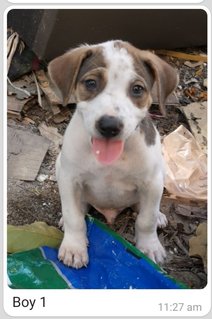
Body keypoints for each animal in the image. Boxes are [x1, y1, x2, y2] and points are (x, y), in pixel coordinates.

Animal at [47, 40, 177, 270]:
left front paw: (150, 246)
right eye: (91, 83)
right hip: (59, 166)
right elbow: (74, 218)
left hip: (161, 174)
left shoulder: (152, 182)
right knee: (78, 208)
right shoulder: (69, 178)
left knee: (146, 208)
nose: (109, 125)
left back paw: (160, 216)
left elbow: (146, 220)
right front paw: (74, 247)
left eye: (137, 89)